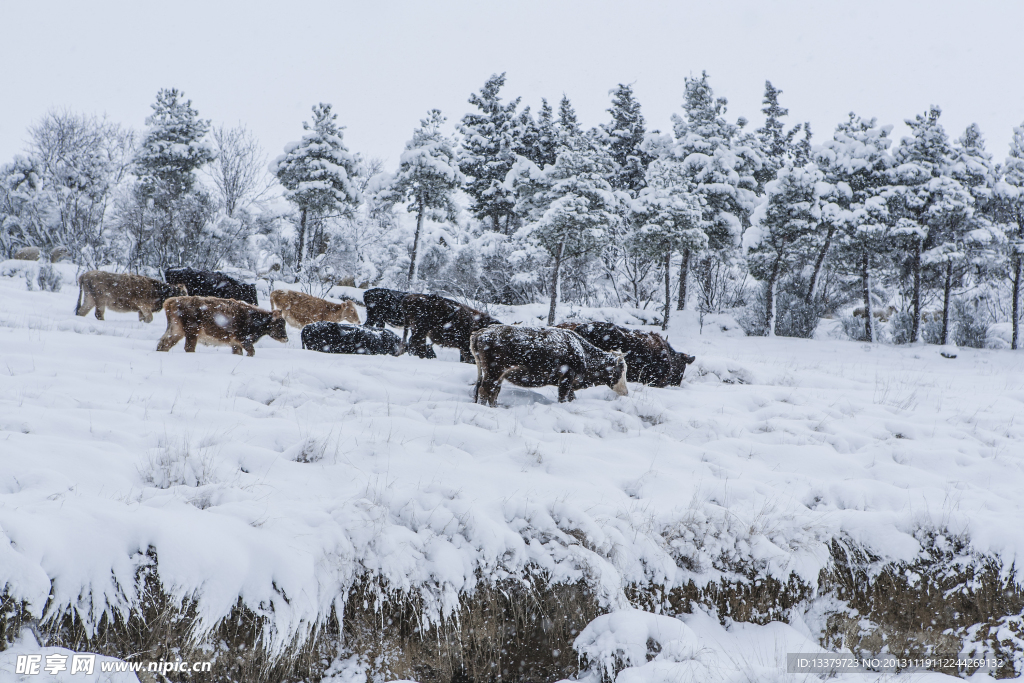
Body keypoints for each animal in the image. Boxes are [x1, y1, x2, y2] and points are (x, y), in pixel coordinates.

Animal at [157, 294, 290, 356]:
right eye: (279, 324)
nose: (286, 339)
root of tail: (171, 301)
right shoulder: (244, 341)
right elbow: (252, 352)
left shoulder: (236, 344)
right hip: (191, 333)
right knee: (188, 348)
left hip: (177, 332)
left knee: (164, 344)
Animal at [468, 325, 626, 405]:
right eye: (621, 370)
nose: (626, 392)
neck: (581, 350)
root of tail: (480, 332)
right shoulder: (566, 378)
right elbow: (563, 398)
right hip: (493, 372)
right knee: (484, 391)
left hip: (496, 375)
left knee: (493, 392)